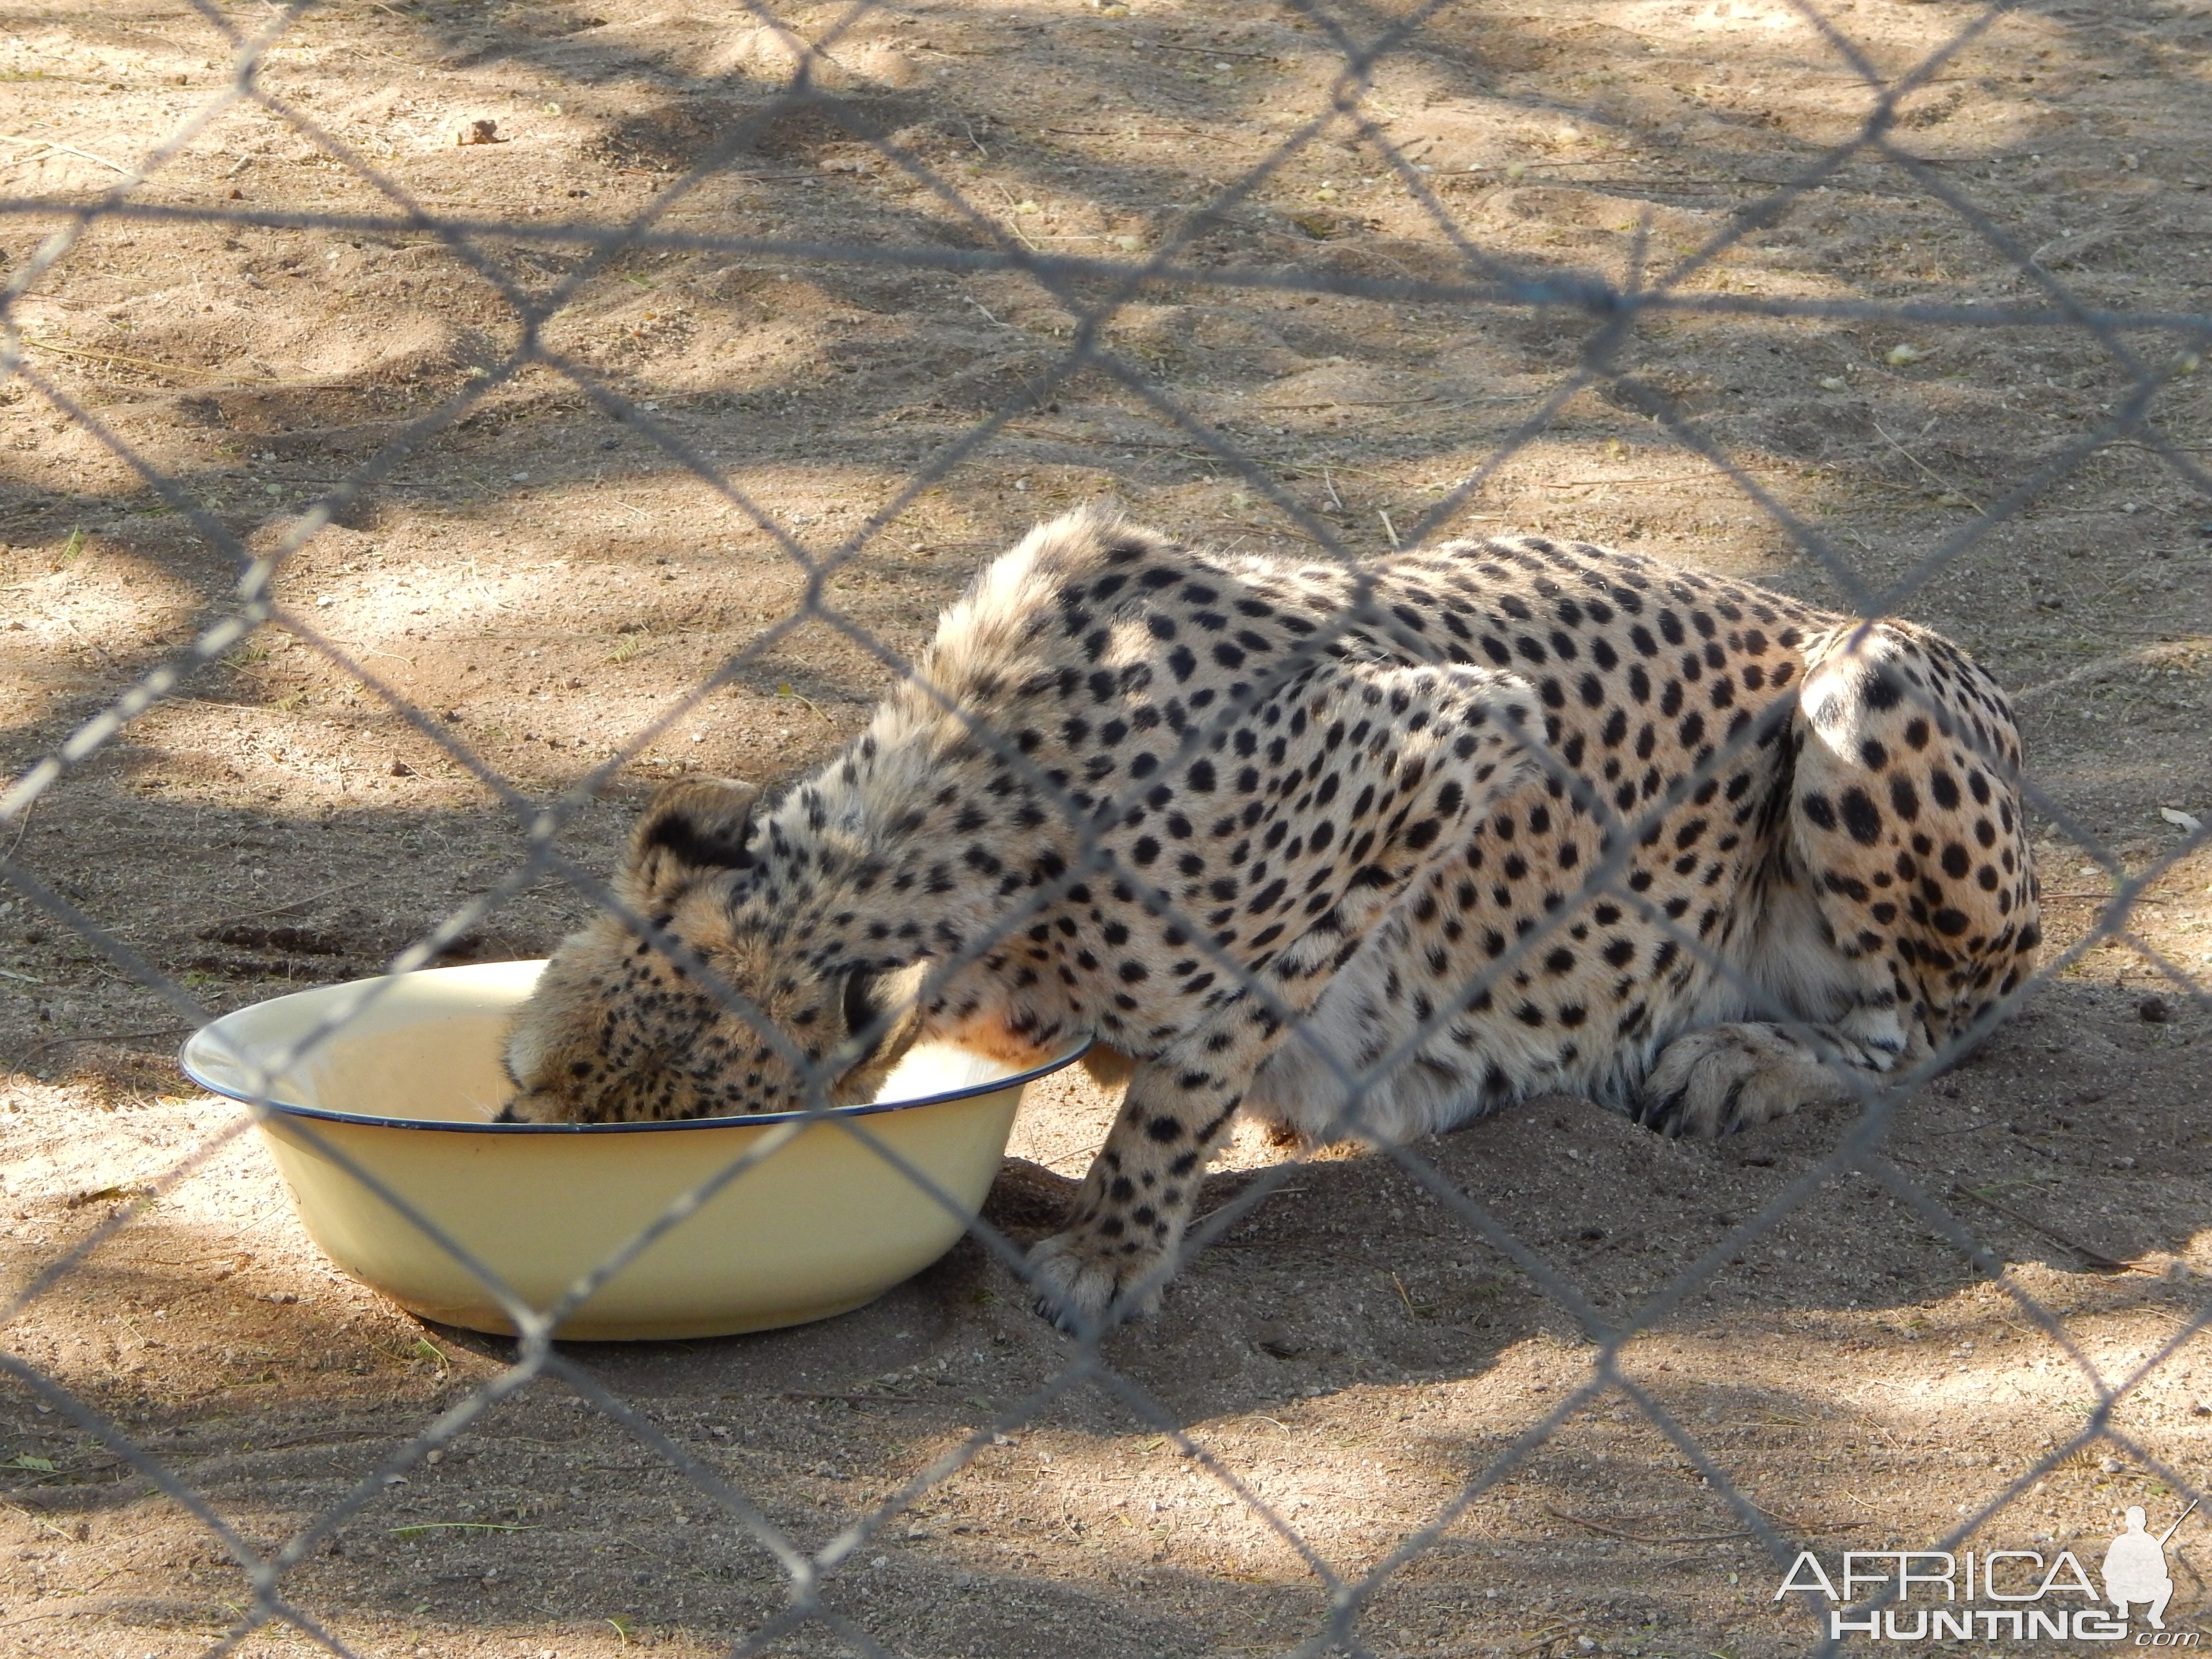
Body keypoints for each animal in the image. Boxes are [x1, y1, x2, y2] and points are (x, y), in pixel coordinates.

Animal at [502, 506, 2035, 1327]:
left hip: (1872, 684)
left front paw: (1112, 1251)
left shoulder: (1452, 738)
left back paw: (1747, 1059)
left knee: (1921, 1031)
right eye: (520, 1082)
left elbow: (1190, 1075)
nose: (537, 1209)